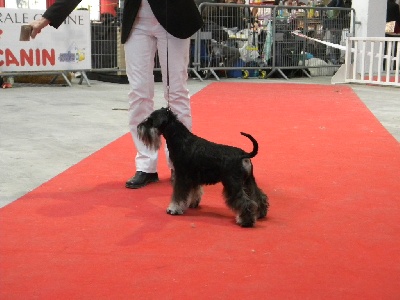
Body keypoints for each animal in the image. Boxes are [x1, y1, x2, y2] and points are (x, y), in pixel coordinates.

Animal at [137, 106, 268, 226]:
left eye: (150, 120)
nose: (138, 127)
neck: (181, 140)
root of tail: (243, 154)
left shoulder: (181, 176)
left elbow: (178, 195)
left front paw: (173, 209)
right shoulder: (193, 177)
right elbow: (194, 192)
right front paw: (192, 204)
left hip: (233, 183)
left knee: (245, 202)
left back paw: (246, 221)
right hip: (248, 181)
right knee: (258, 196)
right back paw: (260, 213)